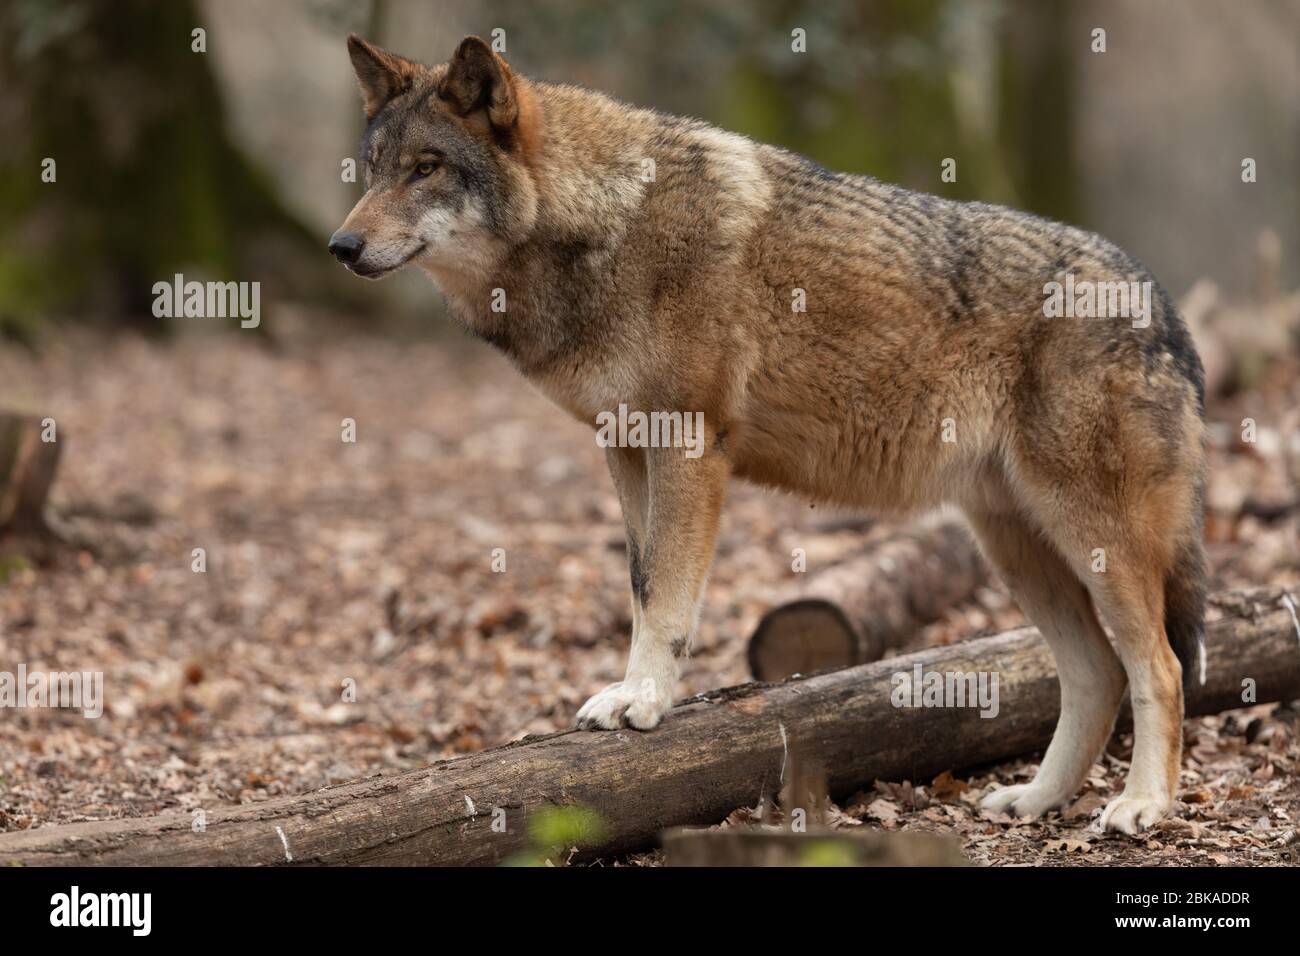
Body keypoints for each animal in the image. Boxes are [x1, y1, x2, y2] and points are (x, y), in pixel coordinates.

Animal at [330, 35, 1207, 835]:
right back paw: (1037, 801)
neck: (603, 222)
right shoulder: (624, 448)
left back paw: (1143, 807)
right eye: (371, 170)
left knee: (1159, 667)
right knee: (1095, 674)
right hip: (1015, 546)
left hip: (1089, 539)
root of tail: (1163, 303)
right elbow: (641, 585)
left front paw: (644, 702)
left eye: (426, 168)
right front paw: (631, 693)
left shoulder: (687, 444)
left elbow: (668, 599)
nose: (340, 246)